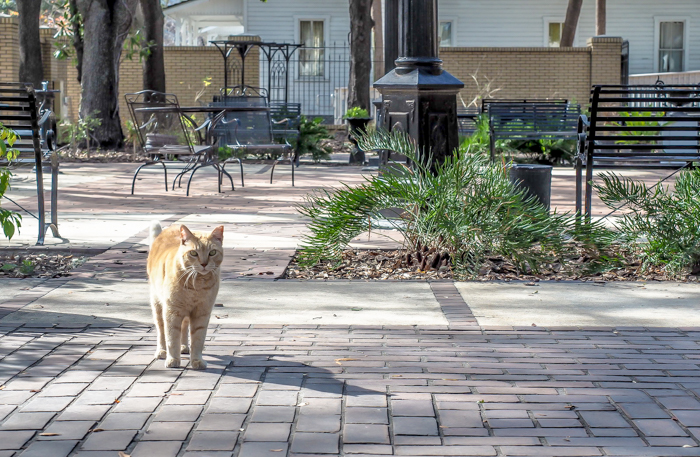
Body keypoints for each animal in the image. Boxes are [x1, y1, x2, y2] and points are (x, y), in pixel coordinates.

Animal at [148, 220, 224, 366]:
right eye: (193, 253)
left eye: (212, 252)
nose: (204, 264)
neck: (197, 284)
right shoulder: (172, 311)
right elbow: (172, 337)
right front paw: (173, 359)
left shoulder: (202, 312)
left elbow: (198, 339)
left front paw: (197, 360)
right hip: (158, 305)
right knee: (161, 329)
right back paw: (161, 351)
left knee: (184, 327)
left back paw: (183, 346)